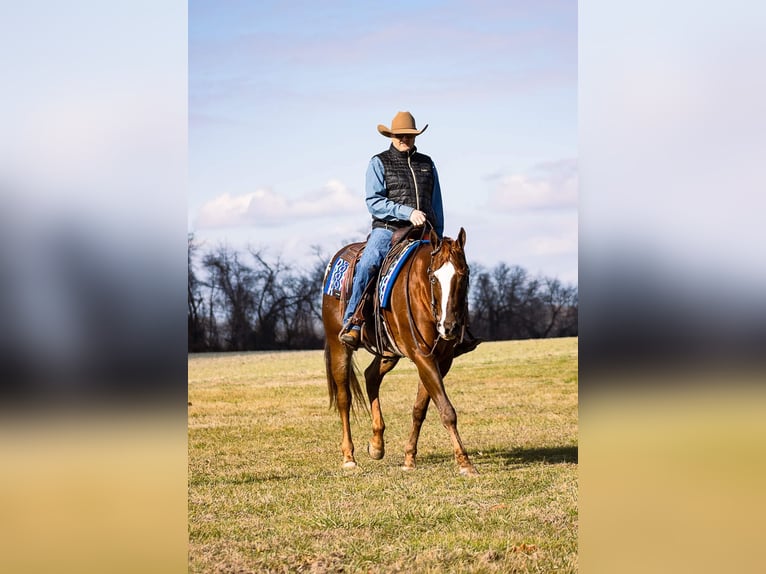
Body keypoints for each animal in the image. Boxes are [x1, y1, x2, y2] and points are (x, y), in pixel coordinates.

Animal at [320, 228, 476, 476]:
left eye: (463, 275)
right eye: (433, 278)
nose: (449, 326)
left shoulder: (441, 360)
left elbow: (420, 409)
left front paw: (409, 458)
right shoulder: (422, 356)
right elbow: (446, 410)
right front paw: (465, 463)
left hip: (388, 352)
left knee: (371, 376)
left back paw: (376, 444)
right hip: (339, 346)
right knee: (344, 398)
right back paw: (349, 457)